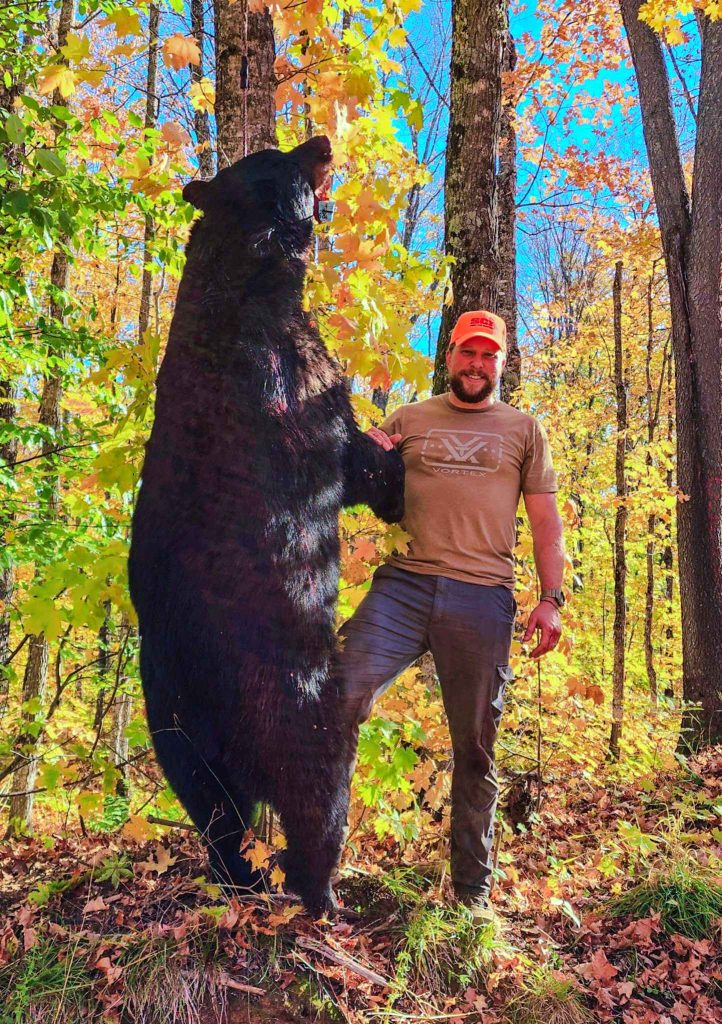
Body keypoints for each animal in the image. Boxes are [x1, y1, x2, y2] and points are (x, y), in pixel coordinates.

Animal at [128, 136, 404, 916]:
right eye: (281, 157)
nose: (321, 140)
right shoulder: (289, 384)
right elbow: (350, 454)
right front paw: (397, 471)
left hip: (175, 733)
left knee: (217, 816)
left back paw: (241, 880)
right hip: (301, 708)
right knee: (318, 801)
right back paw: (324, 895)